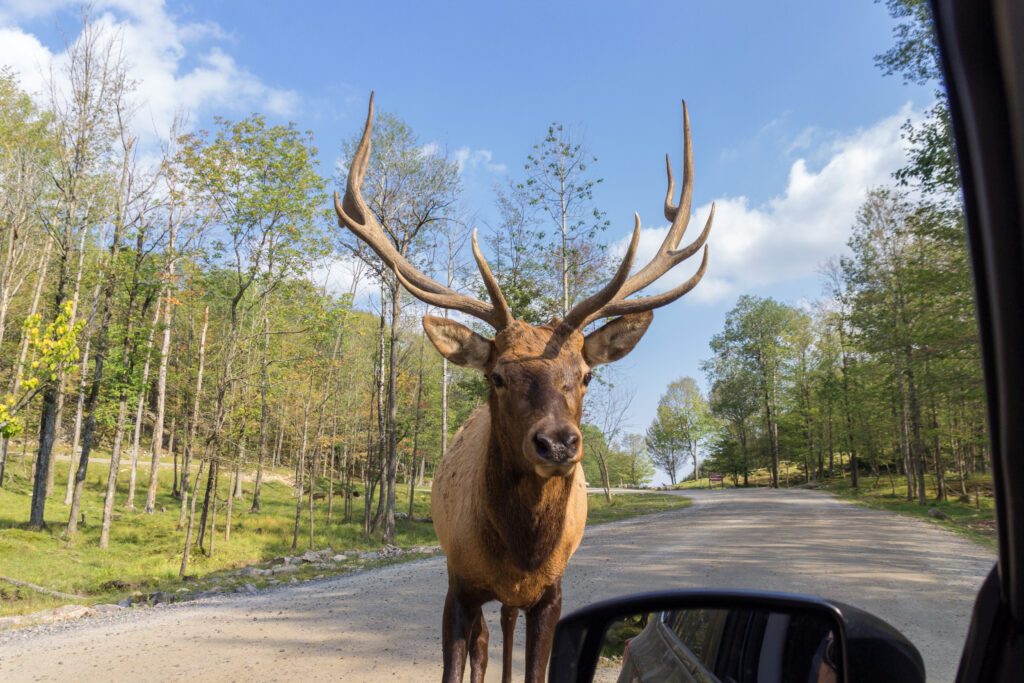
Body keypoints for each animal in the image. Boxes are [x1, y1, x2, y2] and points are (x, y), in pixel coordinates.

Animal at [333, 94, 712, 683]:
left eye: (585, 374)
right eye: (498, 375)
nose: (557, 443)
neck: (520, 556)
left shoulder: (551, 593)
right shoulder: (459, 584)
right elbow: (458, 664)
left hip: (516, 601)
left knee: (503, 629)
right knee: (487, 644)